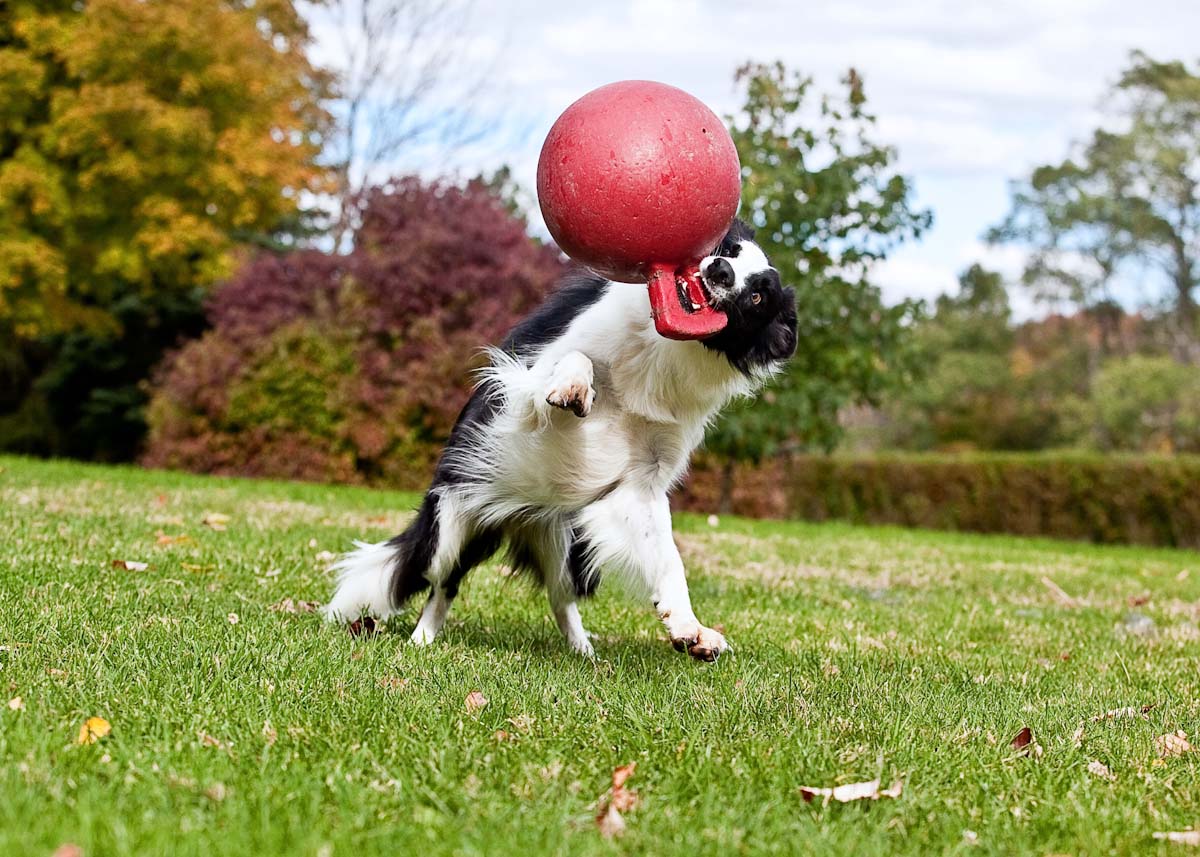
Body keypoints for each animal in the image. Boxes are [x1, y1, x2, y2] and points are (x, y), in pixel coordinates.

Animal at [326, 220, 796, 662]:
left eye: (758, 297)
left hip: (568, 545)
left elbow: (668, 557)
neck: (661, 350)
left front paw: (689, 628)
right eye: (727, 249)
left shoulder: (642, 481)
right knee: (441, 583)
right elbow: (576, 358)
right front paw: (574, 386)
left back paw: (584, 652)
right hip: (451, 522)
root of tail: (517, 515)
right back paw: (421, 640)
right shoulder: (523, 385)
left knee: (559, 597)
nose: (719, 271)